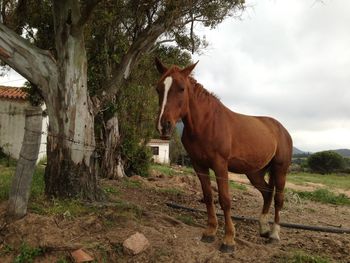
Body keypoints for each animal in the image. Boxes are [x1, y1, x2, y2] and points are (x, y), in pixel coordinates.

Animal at [154, 58, 294, 254]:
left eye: (181, 88)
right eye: (158, 88)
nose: (164, 126)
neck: (207, 123)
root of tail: (281, 128)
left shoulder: (220, 165)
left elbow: (225, 200)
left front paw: (228, 240)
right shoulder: (199, 165)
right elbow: (208, 196)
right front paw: (210, 232)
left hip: (280, 169)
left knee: (278, 199)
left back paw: (274, 235)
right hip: (255, 173)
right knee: (267, 193)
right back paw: (264, 229)